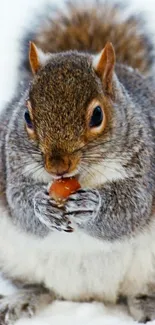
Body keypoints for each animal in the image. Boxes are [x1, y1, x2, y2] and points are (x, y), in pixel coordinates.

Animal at [0, 0, 155, 322]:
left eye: (97, 115)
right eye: (27, 116)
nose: (57, 167)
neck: (82, 176)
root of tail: (89, 296)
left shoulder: (145, 168)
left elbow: (131, 209)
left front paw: (92, 206)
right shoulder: (12, 166)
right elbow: (20, 203)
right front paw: (40, 205)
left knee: (139, 291)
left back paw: (146, 305)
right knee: (39, 285)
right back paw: (22, 298)